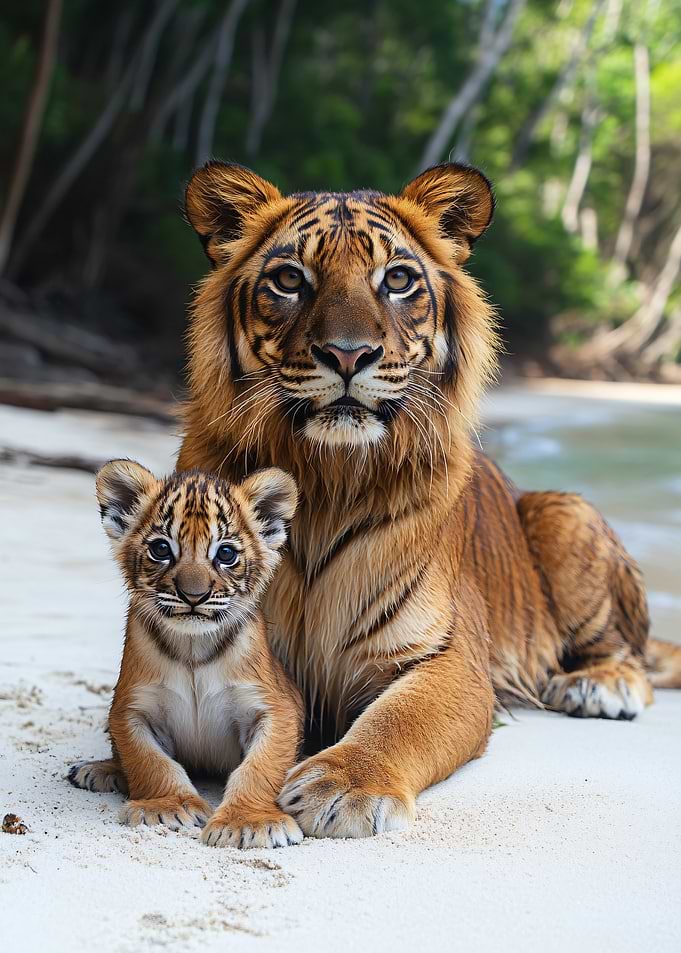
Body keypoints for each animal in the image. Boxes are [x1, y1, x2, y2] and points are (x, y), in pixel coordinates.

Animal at [68, 460, 304, 849]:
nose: (194, 595)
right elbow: (150, 761)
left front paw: (249, 822)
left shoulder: (274, 708)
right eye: (161, 549)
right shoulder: (131, 708)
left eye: (226, 554)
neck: (194, 649)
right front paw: (168, 807)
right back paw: (98, 771)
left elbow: (260, 767)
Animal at [177, 160, 681, 839]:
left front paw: (345, 786)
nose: (347, 354)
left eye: (397, 279)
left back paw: (597, 688)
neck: (328, 479)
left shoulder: (449, 659)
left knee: (632, 657)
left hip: (565, 512)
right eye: (288, 280)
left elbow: (400, 721)